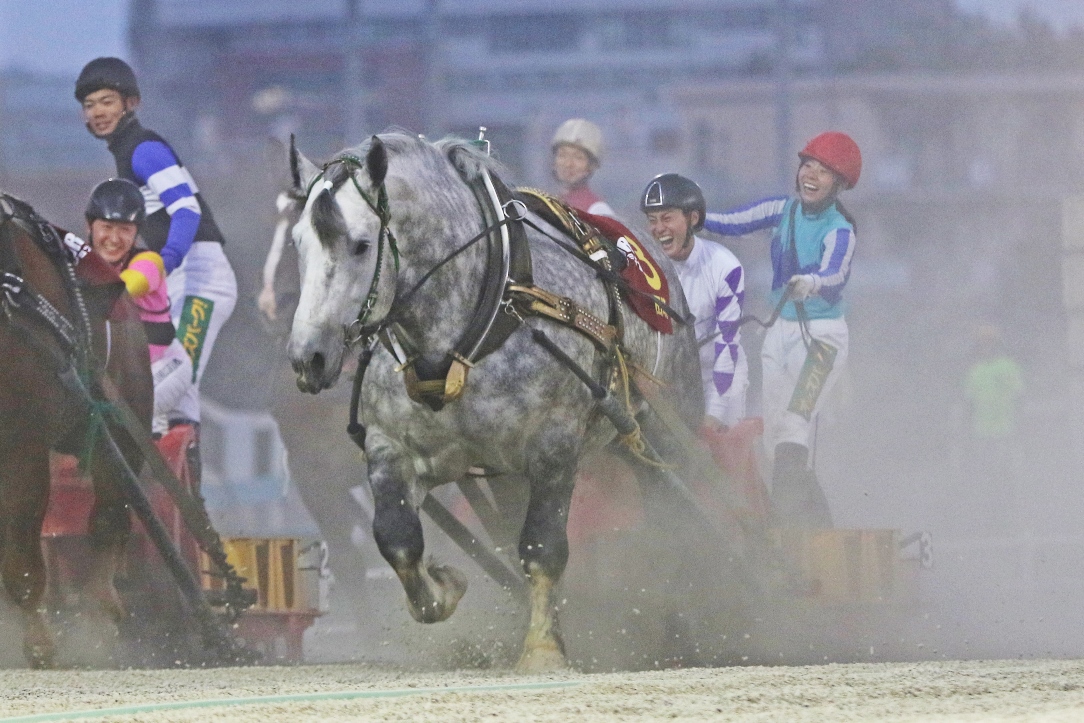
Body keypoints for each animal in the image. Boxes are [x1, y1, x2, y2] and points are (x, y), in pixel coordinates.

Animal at [0, 194, 152, 667]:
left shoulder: (22, 445)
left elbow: (23, 549)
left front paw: (38, 644)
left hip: (117, 429)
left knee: (109, 518)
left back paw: (100, 622)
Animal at [286, 132, 702, 672]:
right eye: (298, 241)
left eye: (360, 243)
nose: (307, 357)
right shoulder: (391, 448)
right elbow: (397, 538)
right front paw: (446, 585)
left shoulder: (553, 448)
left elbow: (542, 547)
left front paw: (543, 649)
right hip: (508, 474)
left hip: (659, 430)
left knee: (674, 513)